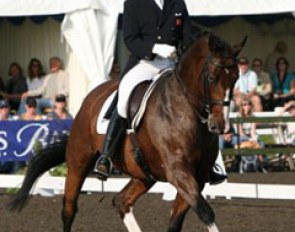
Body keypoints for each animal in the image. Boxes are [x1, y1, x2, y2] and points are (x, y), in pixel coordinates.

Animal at [9, 33, 246, 232]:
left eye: (235, 78)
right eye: (212, 78)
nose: (220, 126)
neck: (187, 110)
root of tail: (91, 96)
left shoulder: (197, 176)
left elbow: (177, 222)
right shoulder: (179, 172)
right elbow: (206, 213)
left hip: (144, 174)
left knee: (122, 201)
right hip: (78, 162)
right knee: (69, 208)